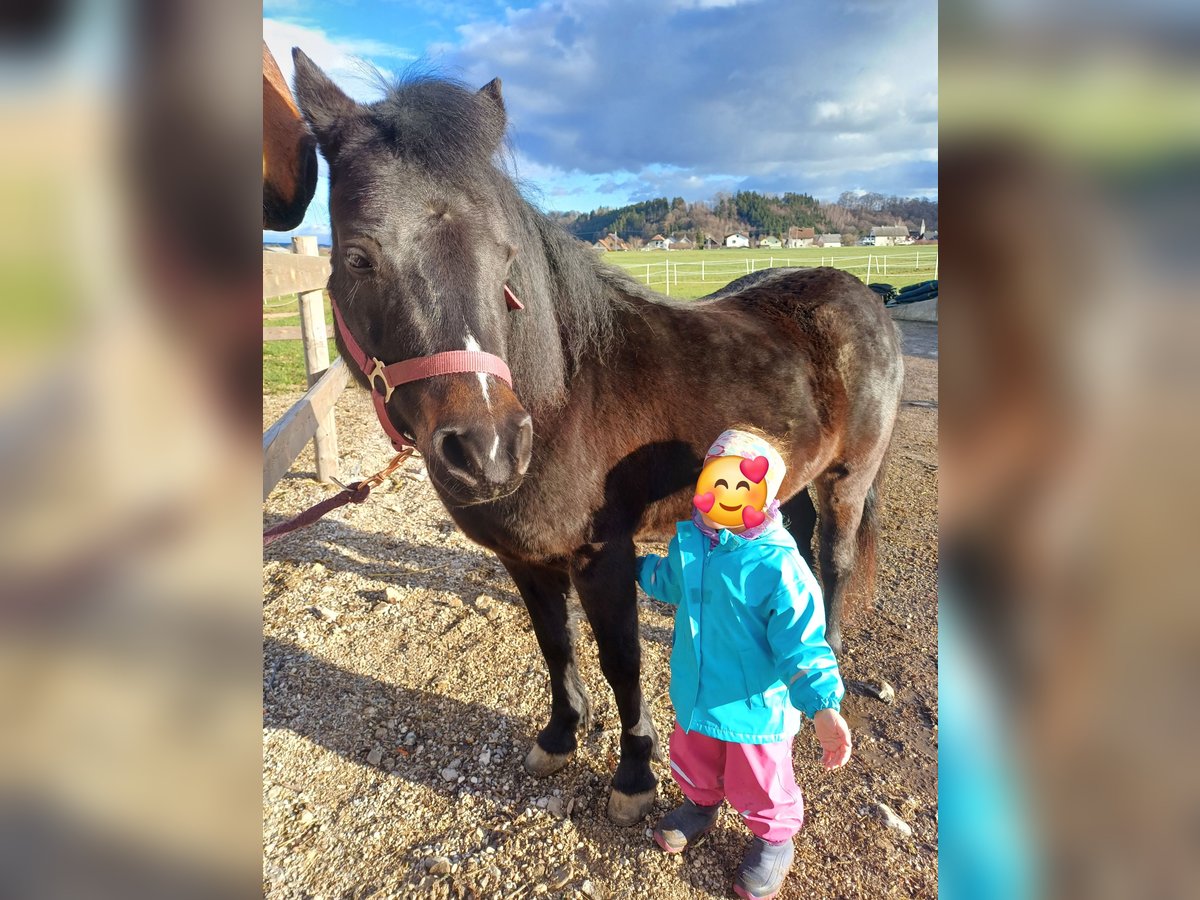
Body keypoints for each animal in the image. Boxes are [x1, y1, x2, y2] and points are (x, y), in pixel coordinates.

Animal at [290, 47, 902, 825]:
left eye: (505, 258)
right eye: (358, 257)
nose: (489, 451)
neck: (562, 395)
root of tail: (864, 295)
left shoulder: (602, 554)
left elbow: (621, 659)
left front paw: (635, 773)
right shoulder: (524, 559)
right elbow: (555, 646)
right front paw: (559, 735)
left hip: (847, 481)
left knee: (836, 561)